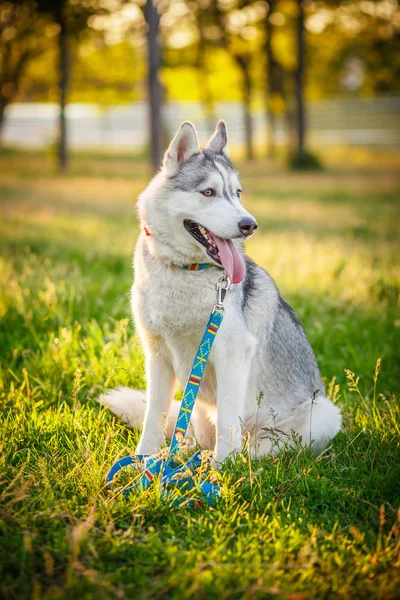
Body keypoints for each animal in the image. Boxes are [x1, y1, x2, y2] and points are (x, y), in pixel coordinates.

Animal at [101, 118, 342, 464]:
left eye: (237, 193)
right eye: (208, 192)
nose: (249, 225)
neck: (187, 271)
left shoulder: (232, 355)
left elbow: (228, 421)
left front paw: (221, 467)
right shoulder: (157, 356)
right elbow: (153, 419)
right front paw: (142, 461)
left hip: (321, 415)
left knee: (260, 444)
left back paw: (228, 458)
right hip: (198, 411)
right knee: (190, 435)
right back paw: (182, 456)